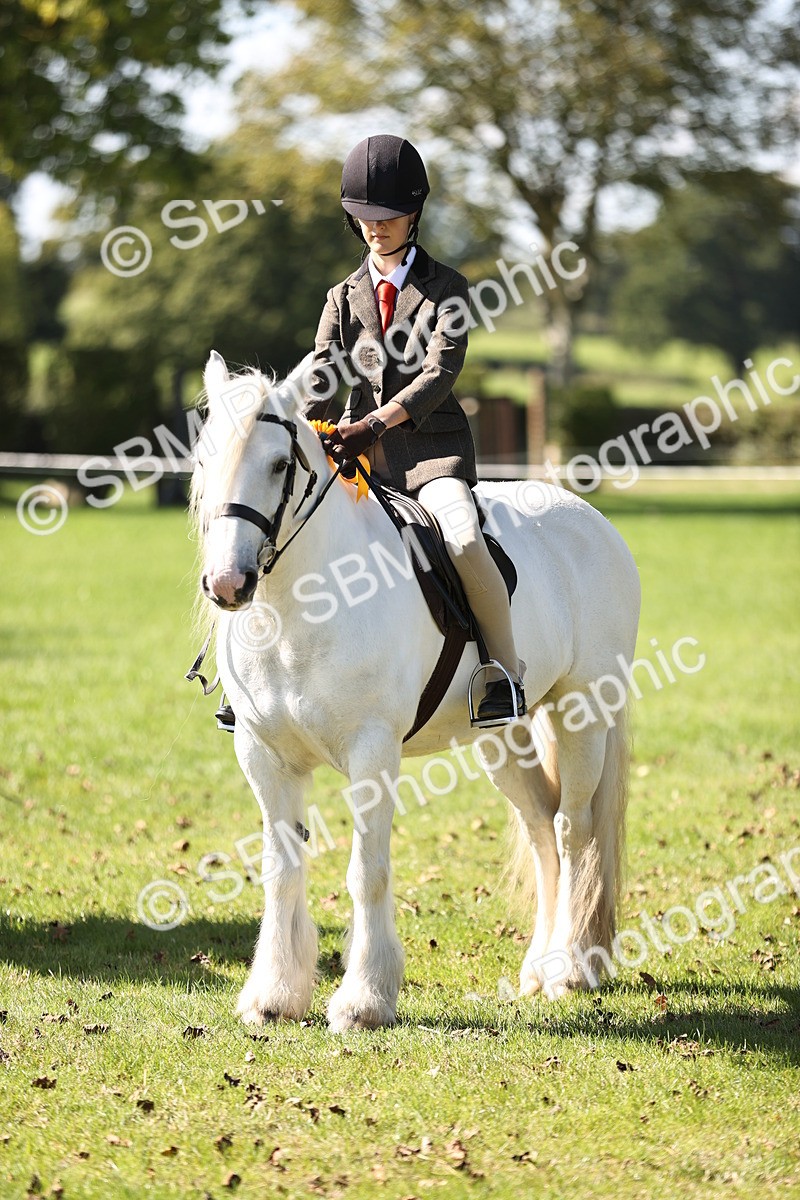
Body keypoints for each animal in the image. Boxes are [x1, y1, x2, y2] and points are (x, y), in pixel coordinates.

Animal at [190, 351, 641, 1031]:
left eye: (277, 464)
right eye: (203, 459)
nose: (228, 582)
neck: (301, 607)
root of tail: (592, 519)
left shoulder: (373, 751)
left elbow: (366, 872)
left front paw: (364, 1000)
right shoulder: (263, 755)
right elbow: (281, 869)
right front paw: (274, 995)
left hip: (582, 711)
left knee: (573, 827)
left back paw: (571, 969)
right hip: (503, 738)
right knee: (542, 830)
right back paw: (538, 970)